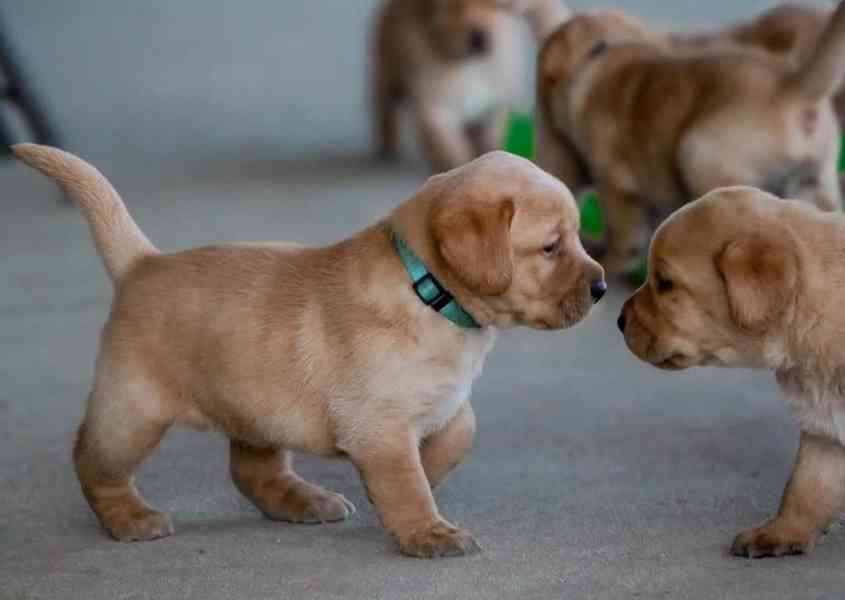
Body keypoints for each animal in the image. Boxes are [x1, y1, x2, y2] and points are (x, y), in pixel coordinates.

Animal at [14, 144, 608, 556]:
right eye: (551, 247)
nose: (603, 286)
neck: (428, 291)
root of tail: (143, 263)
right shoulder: (378, 422)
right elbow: (407, 482)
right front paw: (427, 530)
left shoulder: (440, 401)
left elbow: (460, 432)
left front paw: (420, 478)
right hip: (134, 411)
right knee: (92, 462)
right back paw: (129, 519)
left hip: (255, 406)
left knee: (250, 470)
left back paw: (303, 500)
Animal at [370, 0, 564, 173]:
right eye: (452, 7)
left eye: (497, 7)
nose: (479, 37)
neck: (469, 66)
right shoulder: (436, 109)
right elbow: (451, 148)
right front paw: (458, 166)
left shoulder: (492, 108)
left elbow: (489, 141)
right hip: (387, 81)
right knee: (385, 114)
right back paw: (388, 148)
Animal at [536, 0, 844, 274]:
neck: (597, 55)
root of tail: (791, 87)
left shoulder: (614, 182)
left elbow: (623, 233)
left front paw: (608, 260)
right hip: (815, 182)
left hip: (697, 154)